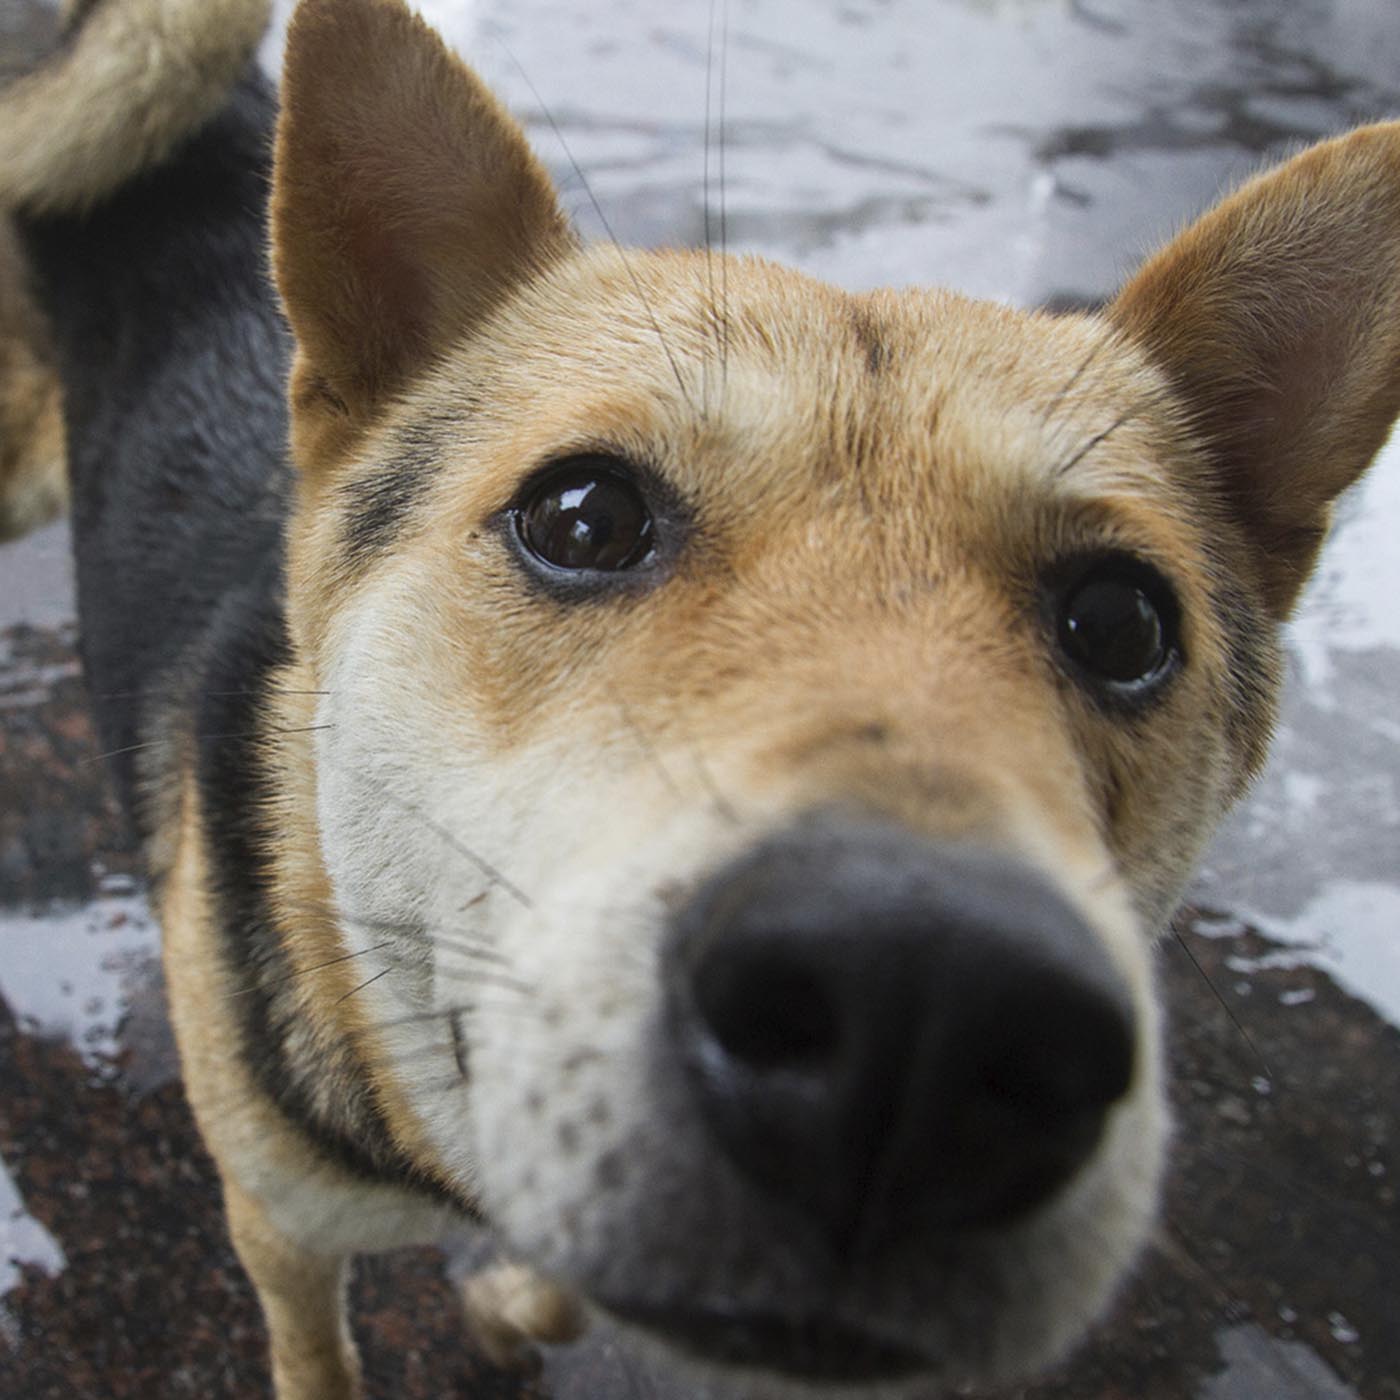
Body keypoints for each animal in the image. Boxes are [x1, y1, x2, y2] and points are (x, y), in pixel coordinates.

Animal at [2, 0, 1400, 1394]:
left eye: (1121, 623)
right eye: (582, 515)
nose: (922, 1011)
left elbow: (562, 1290)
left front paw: (516, 1305)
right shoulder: (279, 1227)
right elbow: (318, 1354)